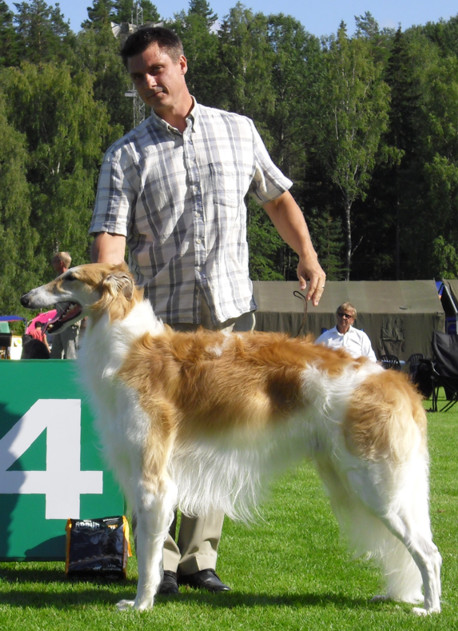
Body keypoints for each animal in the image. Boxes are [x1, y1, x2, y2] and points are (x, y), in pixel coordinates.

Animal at [20, 264, 440, 616]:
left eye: (69, 278)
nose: (25, 299)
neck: (130, 347)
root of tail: (396, 380)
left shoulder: (154, 482)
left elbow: (149, 557)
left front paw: (141, 604)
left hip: (378, 486)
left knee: (430, 553)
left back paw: (430, 609)